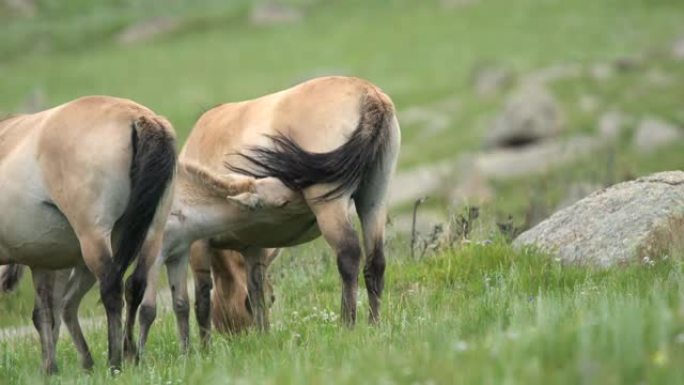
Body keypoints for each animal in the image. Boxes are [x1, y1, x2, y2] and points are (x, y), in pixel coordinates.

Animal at [0, 96, 179, 372]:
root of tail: (139, 118)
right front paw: (49, 369)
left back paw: (114, 362)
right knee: (135, 284)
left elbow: (45, 313)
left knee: (112, 288)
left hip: (93, 237)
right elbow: (44, 313)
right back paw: (131, 354)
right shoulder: (41, 261)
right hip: (152, 233)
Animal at [125, 75, 398, 354]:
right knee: (375, 262)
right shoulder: (253, 247)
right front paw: (263, 335)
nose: (239, 336)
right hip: (374, 200)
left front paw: (206, 348)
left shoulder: (198, 244)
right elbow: (256, 289)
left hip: (330, 206)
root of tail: (369, 94)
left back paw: (347, 325)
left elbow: (202, 299)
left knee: (348, 255)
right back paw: (374, 325)